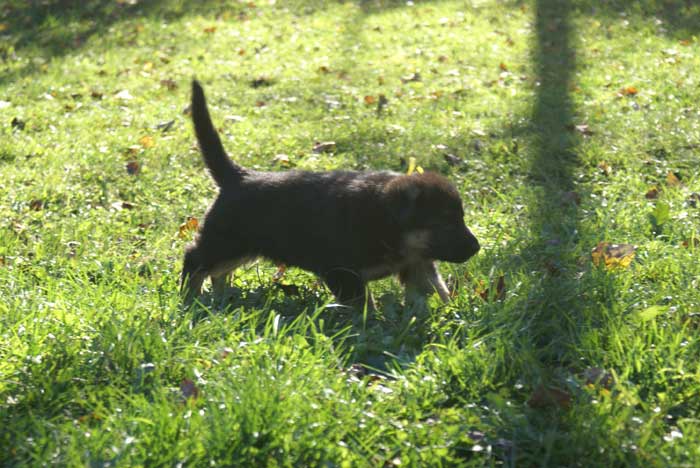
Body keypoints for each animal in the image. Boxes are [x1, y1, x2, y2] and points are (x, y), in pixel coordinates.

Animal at [179, 80, 482, 308]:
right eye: (444, 223)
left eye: (461, 219)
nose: (476, 248)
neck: (386, 220)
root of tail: (238, 176)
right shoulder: (342, 273)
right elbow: (363, 306)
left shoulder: (417, 264)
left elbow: (437, 290)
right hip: (225, 241)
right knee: (194, 259)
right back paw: (190, 296)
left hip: (239, 247)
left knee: (217, 272)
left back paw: (221, 296)